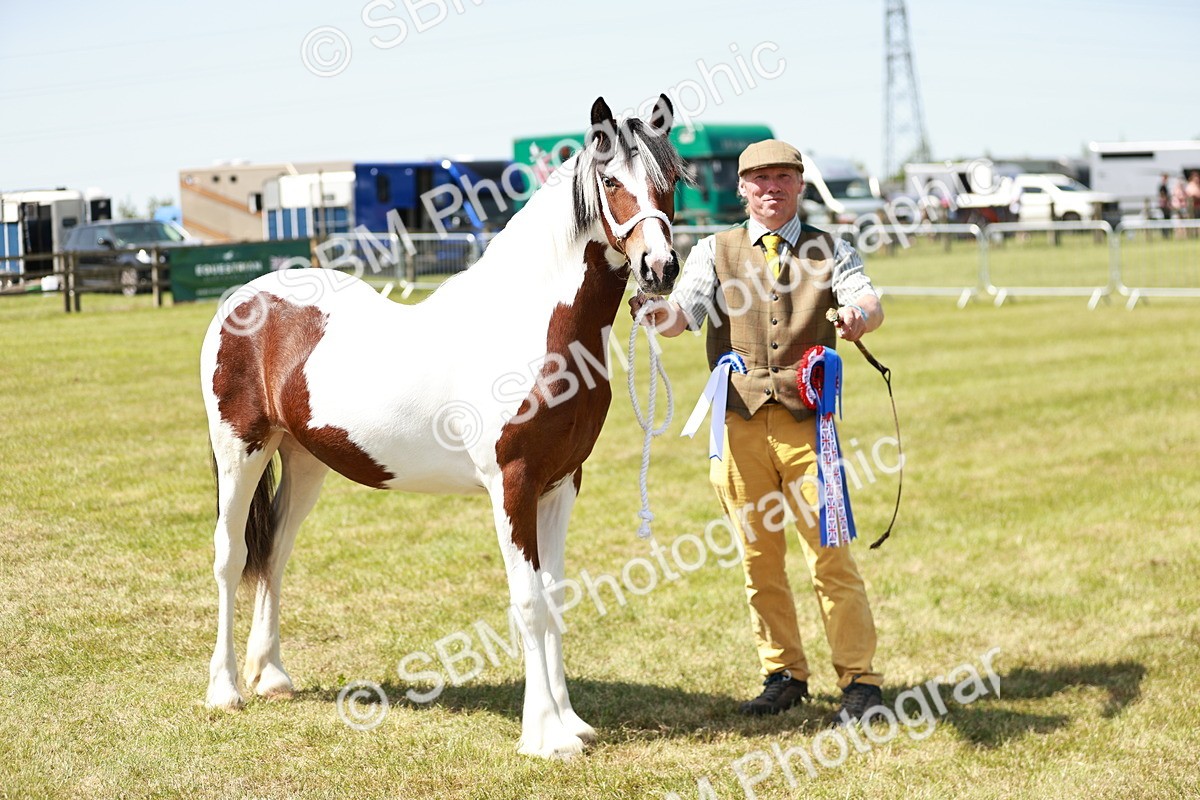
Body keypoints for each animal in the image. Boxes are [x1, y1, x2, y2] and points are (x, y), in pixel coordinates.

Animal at [199, 94, 687, 758]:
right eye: (610, 181)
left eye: (672, 182)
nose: (660, 268)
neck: (530, 325)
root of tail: (243, 299)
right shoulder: (513, 484)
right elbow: (528, 602)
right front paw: (545, 736)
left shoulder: (562, 483)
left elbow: (556, 597)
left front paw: (572, 723)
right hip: (240, 450)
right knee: (231, 556)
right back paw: (225, 690)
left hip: (302, 458)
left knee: (274, 550)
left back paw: (272, 677)